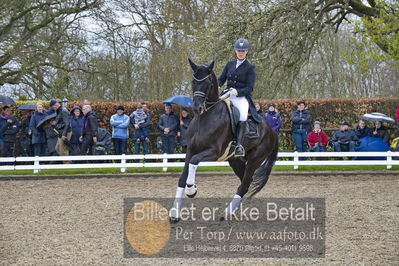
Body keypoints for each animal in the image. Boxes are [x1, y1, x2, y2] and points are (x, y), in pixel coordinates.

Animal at [170, 58, 280, 222]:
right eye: (193, 81)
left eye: (208, 83)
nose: (197, 108)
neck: (205, 117)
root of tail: (272, 131)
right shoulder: (190, 150)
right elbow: (182, 178)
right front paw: (175, 213)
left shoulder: (213, 152)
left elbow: (194, 162)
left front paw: (192, 190)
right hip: (235, 160)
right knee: (246, 181)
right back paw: (235, 211)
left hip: (255, 159)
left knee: (245, 184)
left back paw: (226, 213)